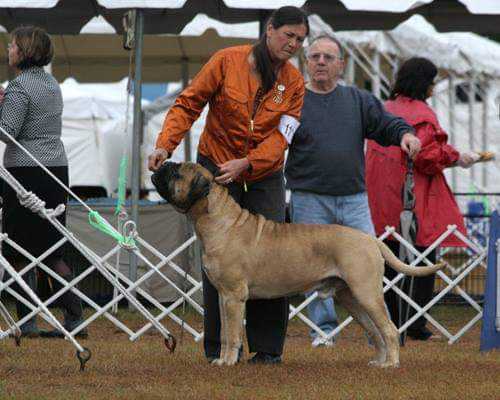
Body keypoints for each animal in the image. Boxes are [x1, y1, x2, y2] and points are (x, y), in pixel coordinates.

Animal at [151, 161, 446, 368]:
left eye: (176, 172)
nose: (161, 165)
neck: (217, 219)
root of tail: (370, 239)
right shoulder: (224, 296)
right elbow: (225, 332)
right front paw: (222, 359)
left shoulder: (234, 296)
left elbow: (233, 334)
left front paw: (227, 361)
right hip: (352, 298)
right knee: (376, 331)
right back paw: (380, 361)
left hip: (366, 293)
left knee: (389, 329)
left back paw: (392, 363)